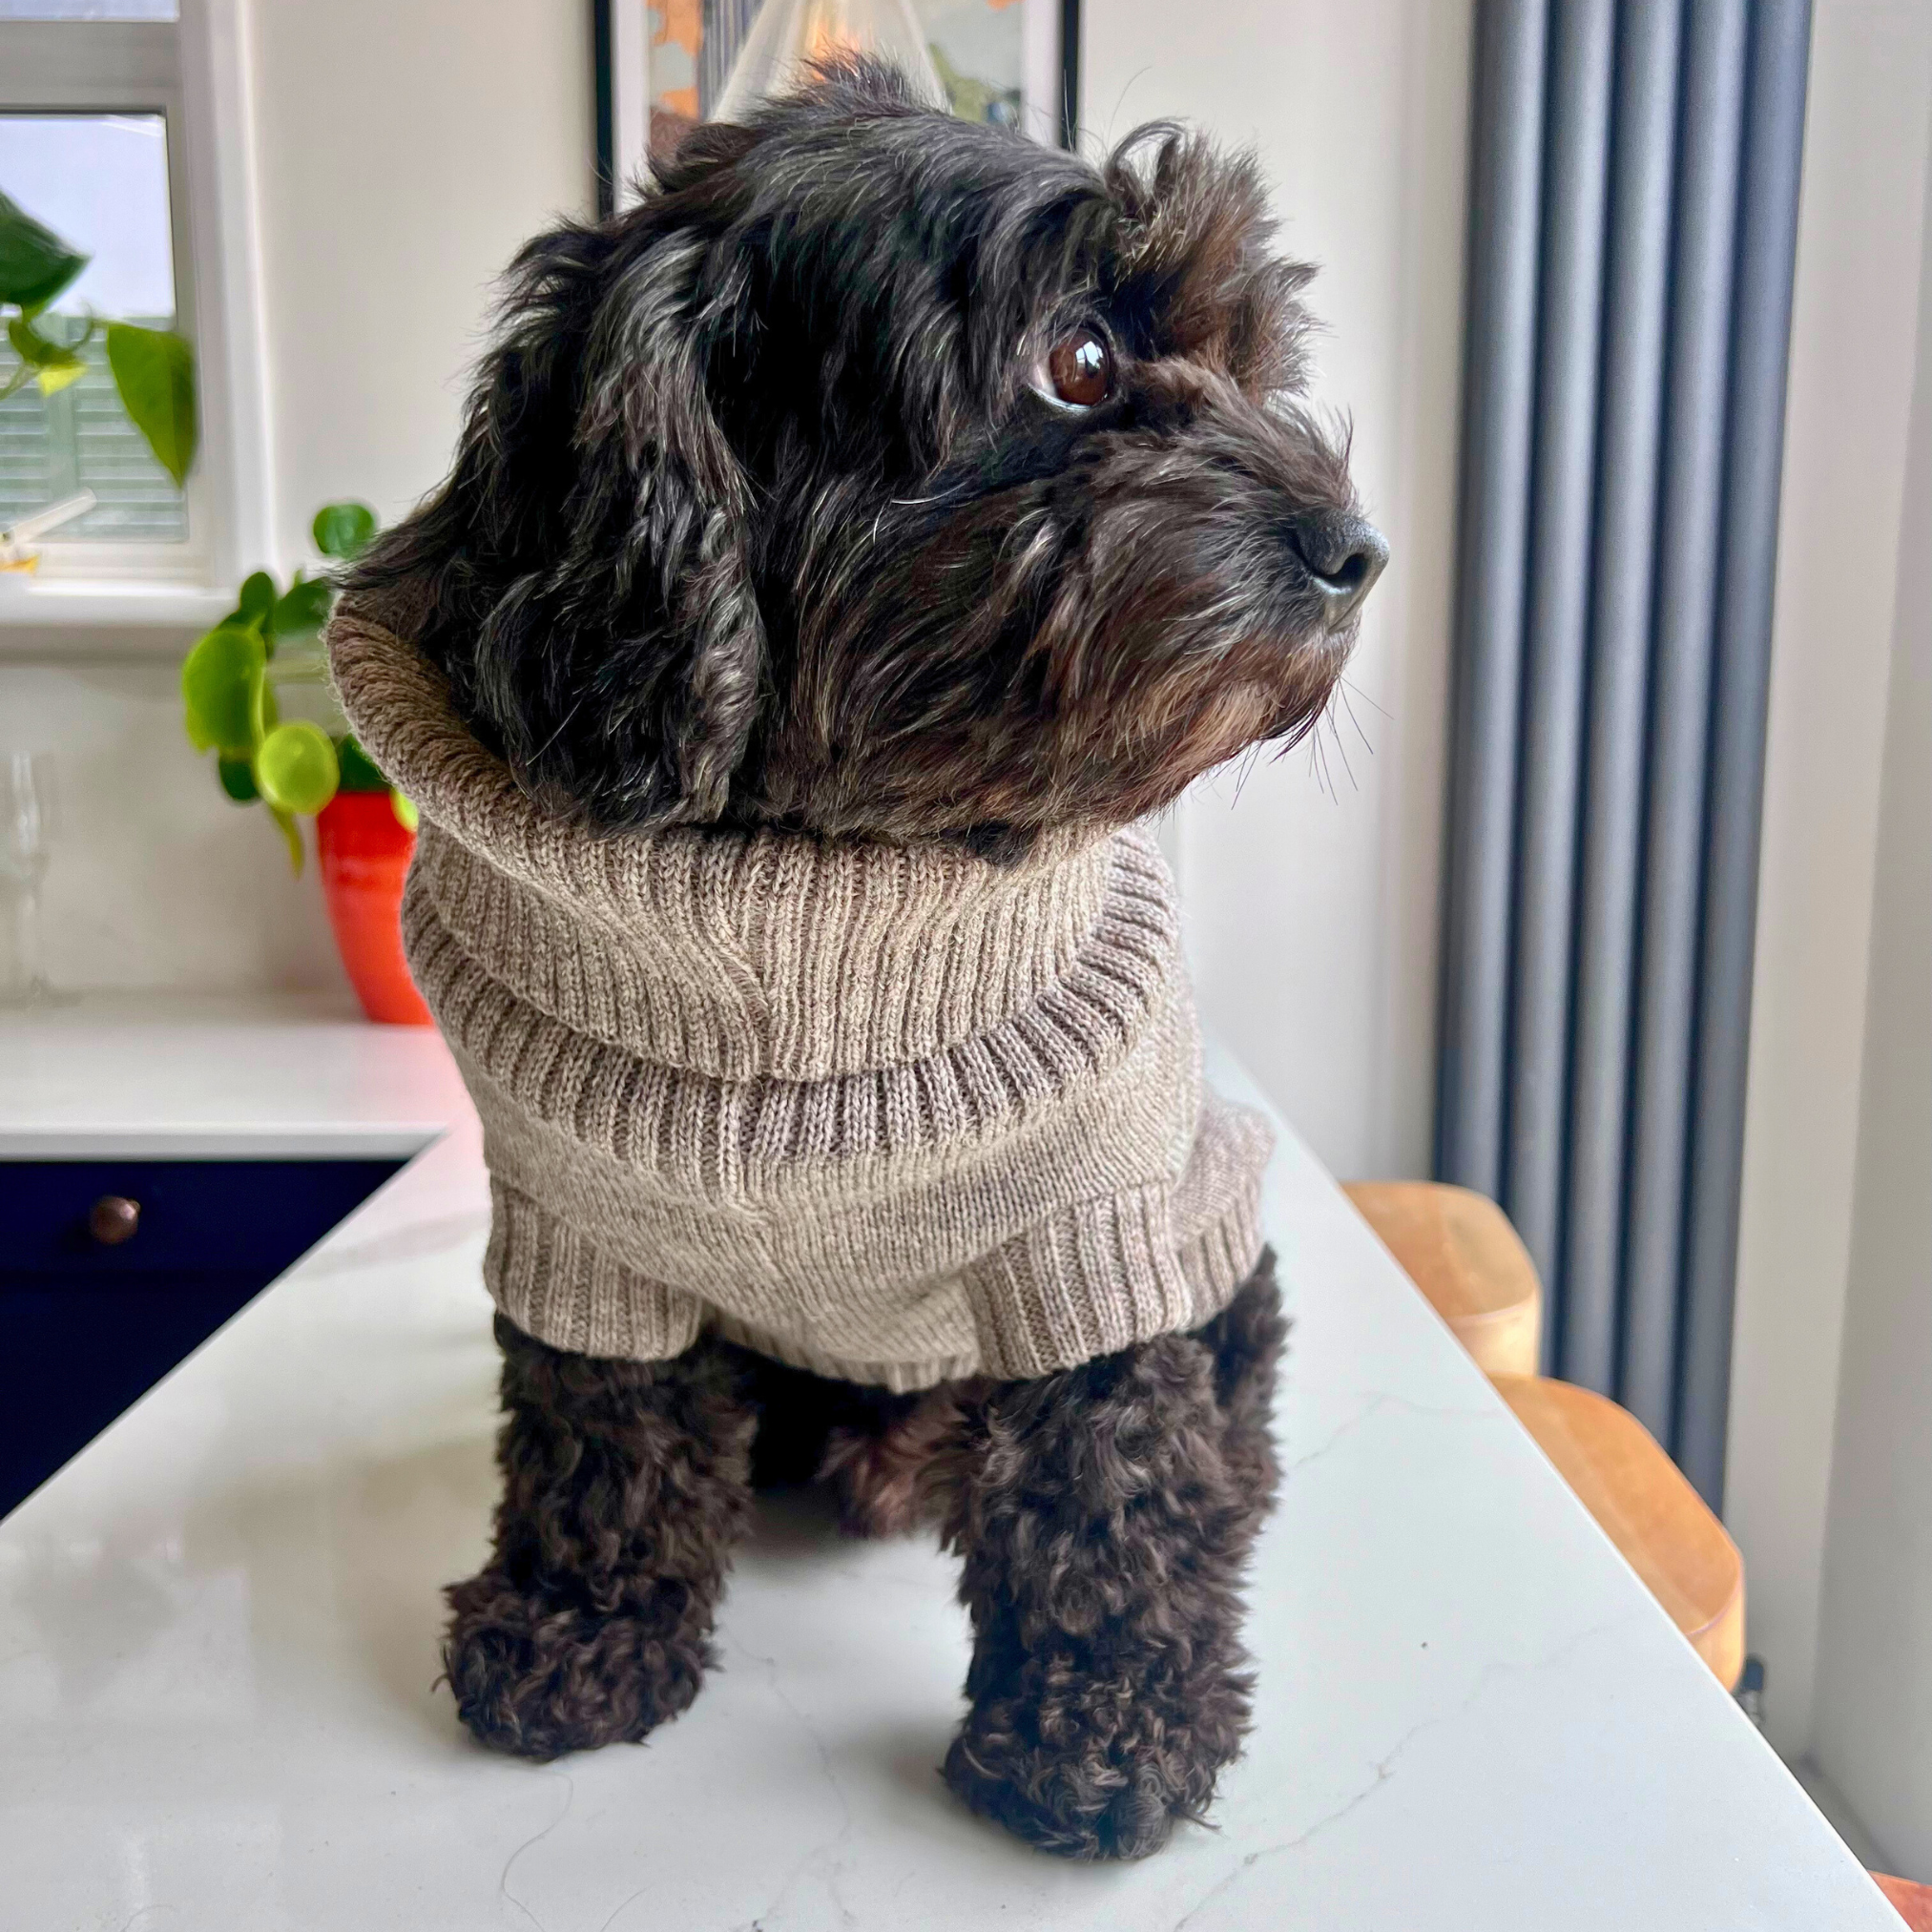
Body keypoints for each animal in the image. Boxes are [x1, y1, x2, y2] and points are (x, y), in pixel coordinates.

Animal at [340, 60, 1382, 1855]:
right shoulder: (577, 1230)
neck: (802, 901)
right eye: (1078, 360)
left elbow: (1111, 1466)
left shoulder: (1089, 1233)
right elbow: (596, 1428)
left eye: (1254, 367)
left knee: (1215, 1404)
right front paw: (580, 1624)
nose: (1355, 548)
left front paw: (1107, 1720)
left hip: (1216, 1242)